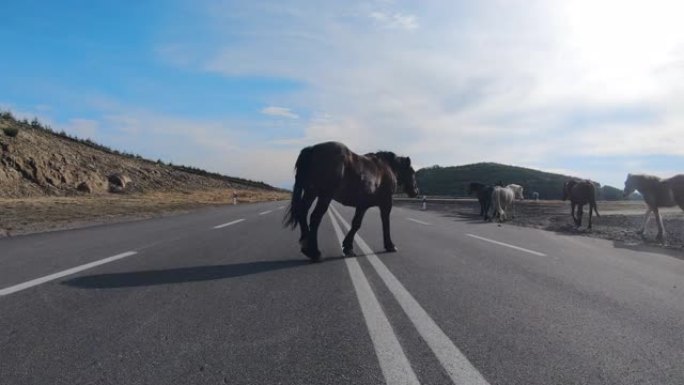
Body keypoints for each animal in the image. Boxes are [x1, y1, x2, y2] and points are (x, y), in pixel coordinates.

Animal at [282, 141, 416, 260]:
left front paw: (348, 247)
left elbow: (356, 224)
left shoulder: (362, 205)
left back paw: (306, 245)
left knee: (302, 212)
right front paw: (390, 245)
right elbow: (385, 223)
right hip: (325, 196)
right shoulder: (386, 203)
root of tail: (313, 149)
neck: (385, 168)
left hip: (311, 193)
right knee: (315, 217)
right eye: (413, 172)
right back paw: (314, 252)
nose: (416, 191)